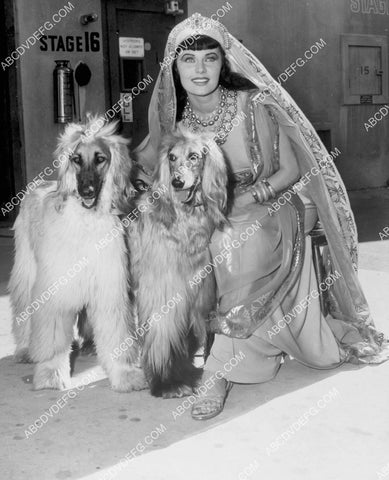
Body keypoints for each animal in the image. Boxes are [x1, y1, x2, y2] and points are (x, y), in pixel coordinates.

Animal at [8, 117, 146, 394]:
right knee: (23, 305)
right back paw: (25, 348)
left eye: (100, 158)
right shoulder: (55, 288)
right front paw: (50, 373)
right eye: (76, 159)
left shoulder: (107, 286)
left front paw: (124, 374)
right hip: (27, 266)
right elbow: (53, 336)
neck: (85, 223)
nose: (86, 191)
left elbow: (116, 331)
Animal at [129, 126, 229, 398]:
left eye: (194, 156)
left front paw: (186, 372)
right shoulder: (162, 294)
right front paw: (166, 383)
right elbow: (162, 338)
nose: (177, 182)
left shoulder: (196, 293)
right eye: (171, 158)